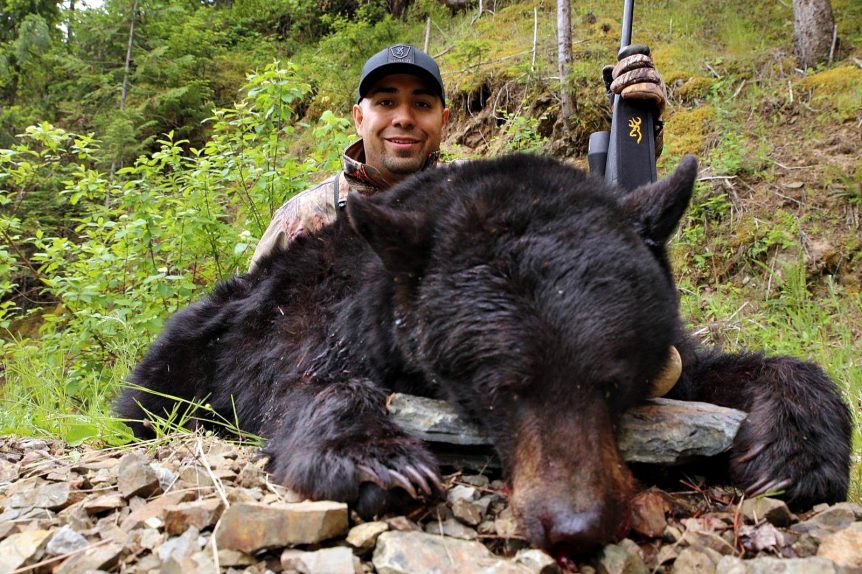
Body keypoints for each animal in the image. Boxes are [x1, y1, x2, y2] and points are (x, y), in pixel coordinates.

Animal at [116, 154, 851, 558]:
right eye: (504, 387)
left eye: (611, 384)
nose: (576, 525)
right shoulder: (317, 320)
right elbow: (305, 380)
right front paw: (379, 458)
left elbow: (718, 372)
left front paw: (796, 452)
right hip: (181, 352)